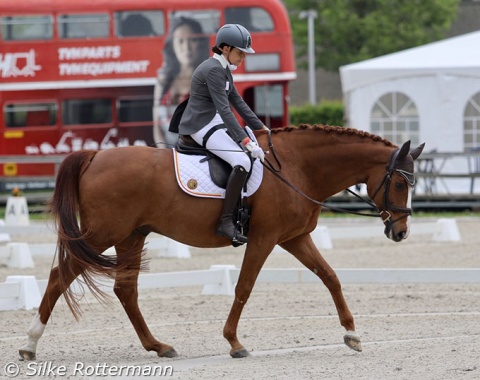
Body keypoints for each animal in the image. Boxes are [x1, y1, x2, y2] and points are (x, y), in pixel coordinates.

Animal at [18, 124, 424, 360]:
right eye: (399, 183)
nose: (401, 232)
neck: (298, 167)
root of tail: (95, 156)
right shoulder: (264, 239)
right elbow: (244, 287)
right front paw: (234, 342)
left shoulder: (295, 238)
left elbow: (331, 277)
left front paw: (352, 334)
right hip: (103, 234)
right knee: (59, 276)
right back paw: (29, 345)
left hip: (132, 235)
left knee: (125, 290)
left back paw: (159, 346)